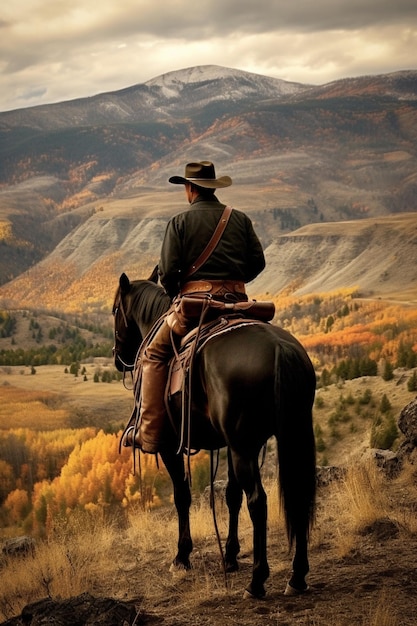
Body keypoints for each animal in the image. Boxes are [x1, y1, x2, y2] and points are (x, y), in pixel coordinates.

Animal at [111, 266, 316, 596]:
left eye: (115, 309)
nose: (118, 358)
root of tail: (279, 348)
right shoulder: (229, 444)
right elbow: (231, 495)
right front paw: (230, 556)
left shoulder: (171, 447)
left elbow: (182, 496)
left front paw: (181, 557)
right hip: (286, 433)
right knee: (297, 493)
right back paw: (297, 576)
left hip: (245, 447)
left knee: (258, 501)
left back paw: (257, 581)